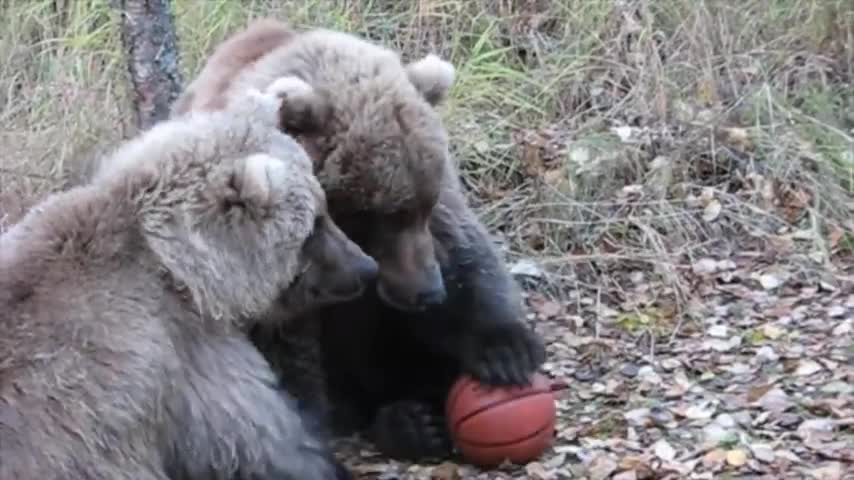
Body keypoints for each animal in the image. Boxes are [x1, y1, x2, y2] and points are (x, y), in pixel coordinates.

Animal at [0, 89, 374, 480]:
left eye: (325, 209)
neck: (180, 269)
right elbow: (261, 436)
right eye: (314, 225)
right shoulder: (186, 351)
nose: (367, 268)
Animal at [174, 20, 548, 464]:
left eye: (423, 206)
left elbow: (466, 248)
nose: (428, 291)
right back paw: (404, 423)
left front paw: (507, 351)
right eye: (380, 213)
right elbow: (283, 351)